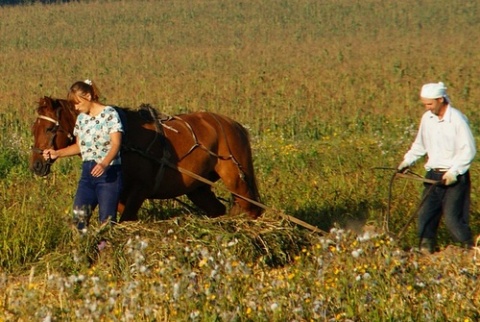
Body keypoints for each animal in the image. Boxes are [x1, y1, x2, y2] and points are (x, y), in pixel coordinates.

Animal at [30, 96, 262, 221]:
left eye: (50, 128)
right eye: (33, 129)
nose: (37, 165)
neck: (125, 141)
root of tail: (234, 125)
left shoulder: (139, 191)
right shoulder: (121, 195)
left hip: (237, 180)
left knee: (252, 210)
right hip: (198, 188)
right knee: (218, 210)